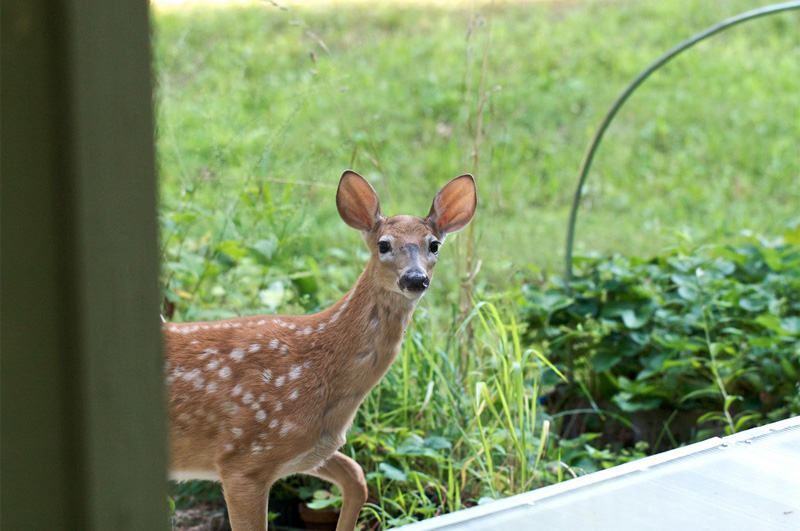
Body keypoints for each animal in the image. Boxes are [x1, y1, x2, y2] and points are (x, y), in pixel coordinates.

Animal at [165, 170, 477, 531]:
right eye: (384, 245)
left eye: (434, 245)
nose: (415, 278)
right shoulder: (243, 458)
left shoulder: (312, 448)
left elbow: (356, 475)